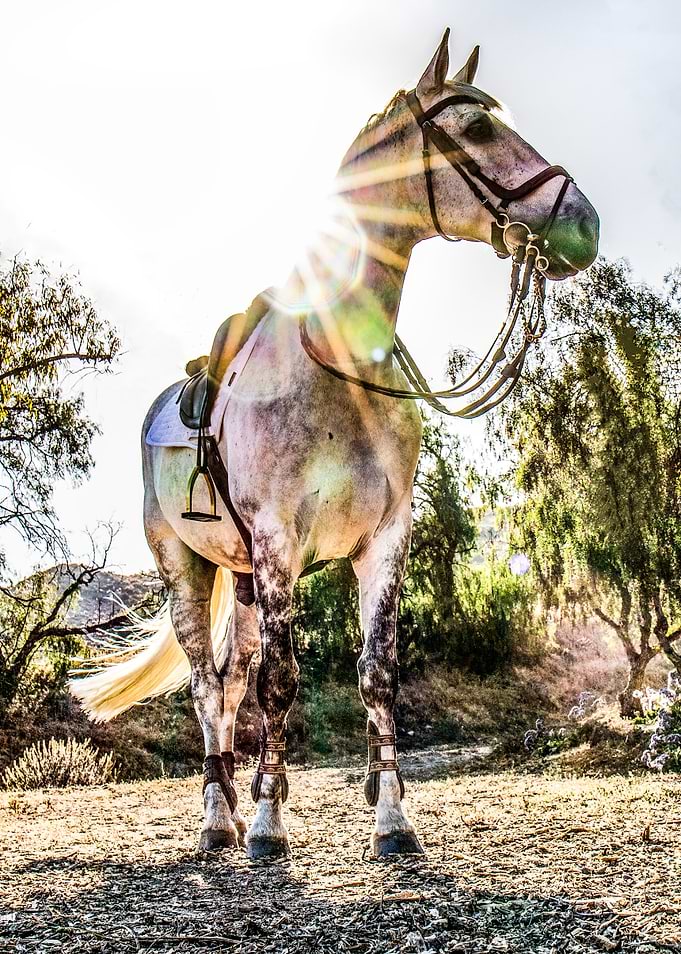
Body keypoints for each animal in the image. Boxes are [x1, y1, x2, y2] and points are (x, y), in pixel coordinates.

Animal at [71, 29, 599, 860]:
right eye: (477, 127)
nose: (582, 224)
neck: (337, 366)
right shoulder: (279, 543)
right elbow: (280, 683)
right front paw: (266, 826)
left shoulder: (382, 540)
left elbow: (375, 674)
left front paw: (392, 823)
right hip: (187, 569)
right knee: (208, 686)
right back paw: (219, 818)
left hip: (243, 582)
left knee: (230, 679)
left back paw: (235, 806)